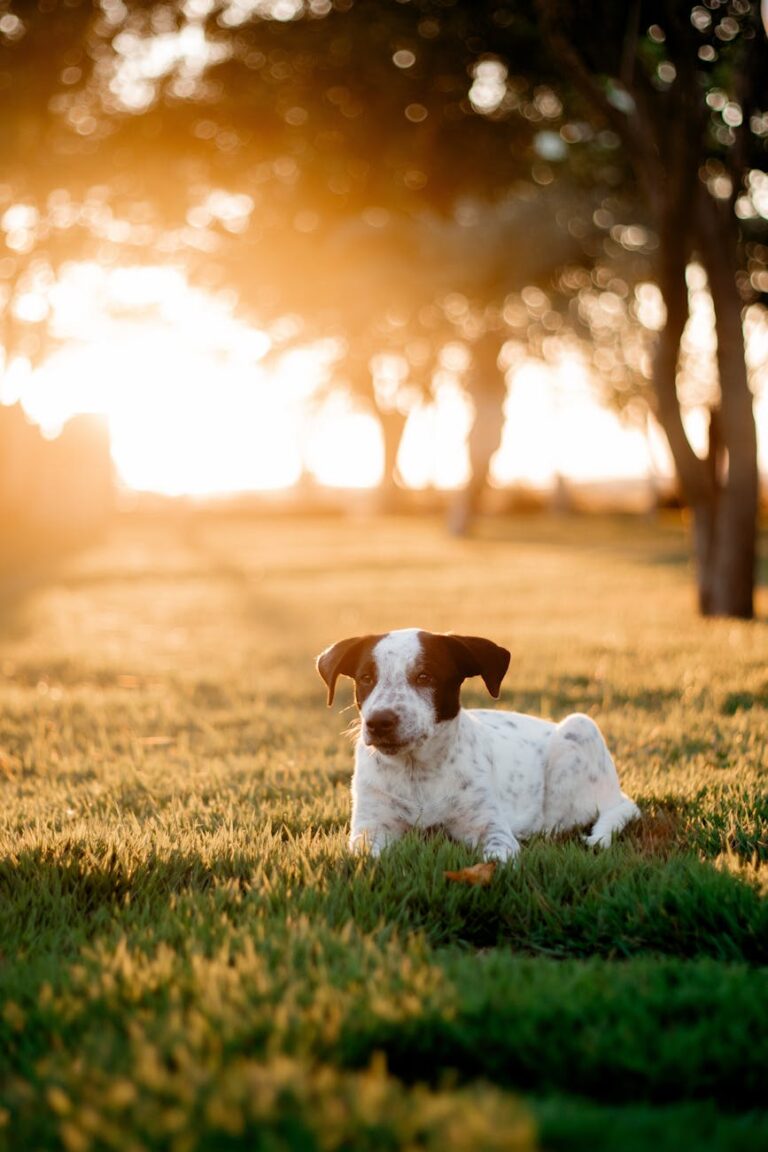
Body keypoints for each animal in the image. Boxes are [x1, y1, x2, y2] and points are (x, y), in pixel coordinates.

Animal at [315, 626, 640, 861]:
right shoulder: (370, 829)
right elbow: (369, 858)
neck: (417, 772)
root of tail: (617, 793)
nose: (379, 722)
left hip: (580, 727)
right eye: (365, 678)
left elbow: (496, 858)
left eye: (425, 676)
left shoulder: (489, 828)